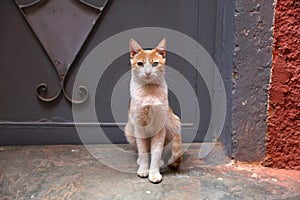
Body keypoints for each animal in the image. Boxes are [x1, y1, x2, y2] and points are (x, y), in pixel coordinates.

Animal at [125, 38, 182, 184]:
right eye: (140, 63)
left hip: (173, 125)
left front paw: (154, 173)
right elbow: (143, 151)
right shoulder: (139, 127)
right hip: (129, 130)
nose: (148, 72)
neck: (149, 91)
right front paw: (144, 169)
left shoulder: (159, 128)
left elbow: (156, 153)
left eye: (155, 63)